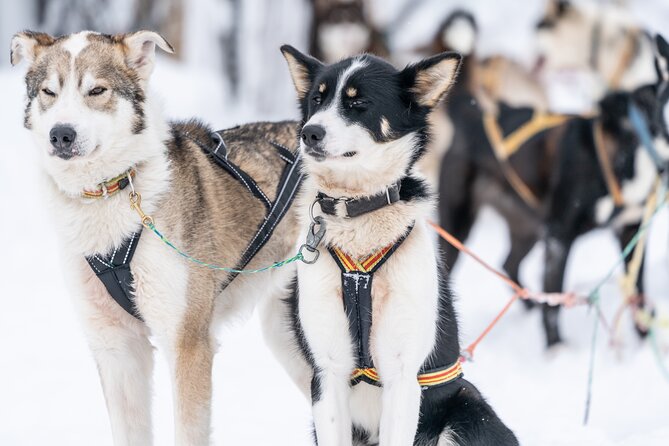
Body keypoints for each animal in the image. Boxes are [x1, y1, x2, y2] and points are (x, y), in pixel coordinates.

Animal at [10, 29, 300, 444]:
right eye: (49, 91)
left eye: (96, 90)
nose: (61, 134)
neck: (113, 191)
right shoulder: (116, 348)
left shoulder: (188, 343)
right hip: (291, 336)